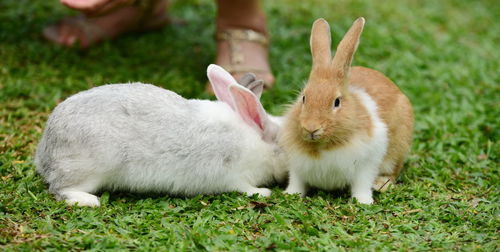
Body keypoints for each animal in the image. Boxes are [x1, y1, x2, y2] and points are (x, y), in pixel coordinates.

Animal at [35, 64, 288, 207]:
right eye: (283, 143)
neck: (255, 140)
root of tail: (45, 153)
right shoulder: (232, 175)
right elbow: (245, 188)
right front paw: (263, 193)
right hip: (88, 170)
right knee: (59, 189)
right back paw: (89, 201)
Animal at [282, 17, 414, 204]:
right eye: (304, 98)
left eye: (337, 102)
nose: (311, 128)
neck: (323, 146)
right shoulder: (297, 166)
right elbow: (297, 182)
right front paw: (290, 194)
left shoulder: (367, 164)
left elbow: (362, 185)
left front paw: (364, 202)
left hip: (398, 150)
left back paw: (381, 185)